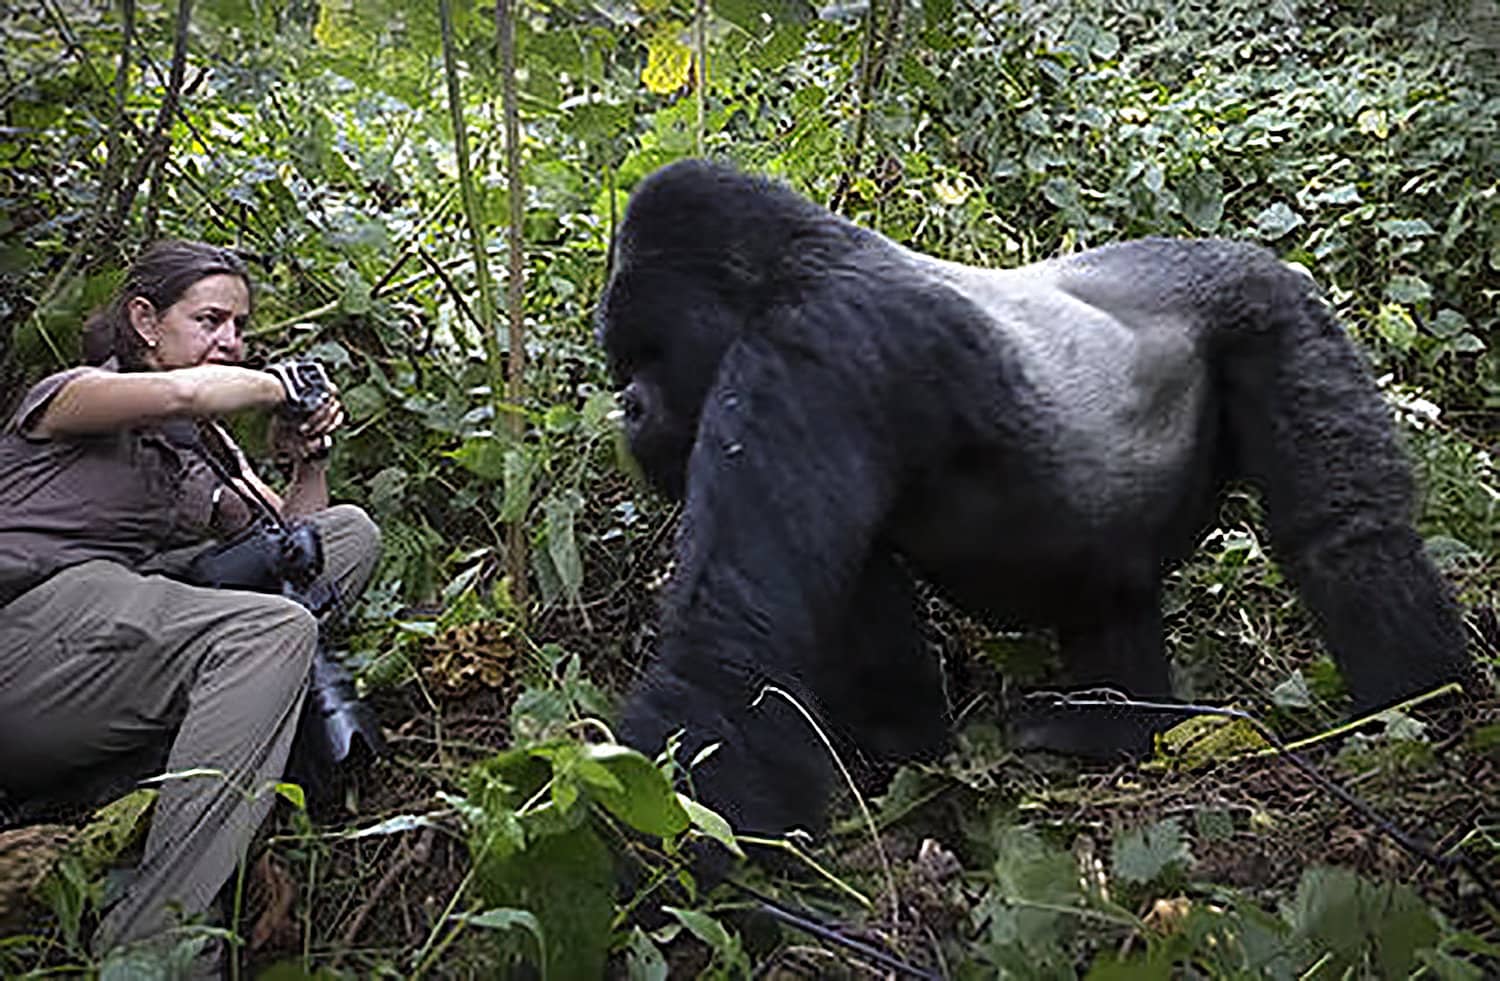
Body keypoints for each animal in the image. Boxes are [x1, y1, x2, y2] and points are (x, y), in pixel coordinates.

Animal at [591, 157, 1470, 840]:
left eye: (648, 353)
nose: (627, 408)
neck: (797, 258)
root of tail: (1257, 252)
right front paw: (896, 747)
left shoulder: (808, 350)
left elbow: (735, 647)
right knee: (1111, 587)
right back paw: (1118, 729)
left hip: (1274, 314)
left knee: (1348, 535)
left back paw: (1417, 708)